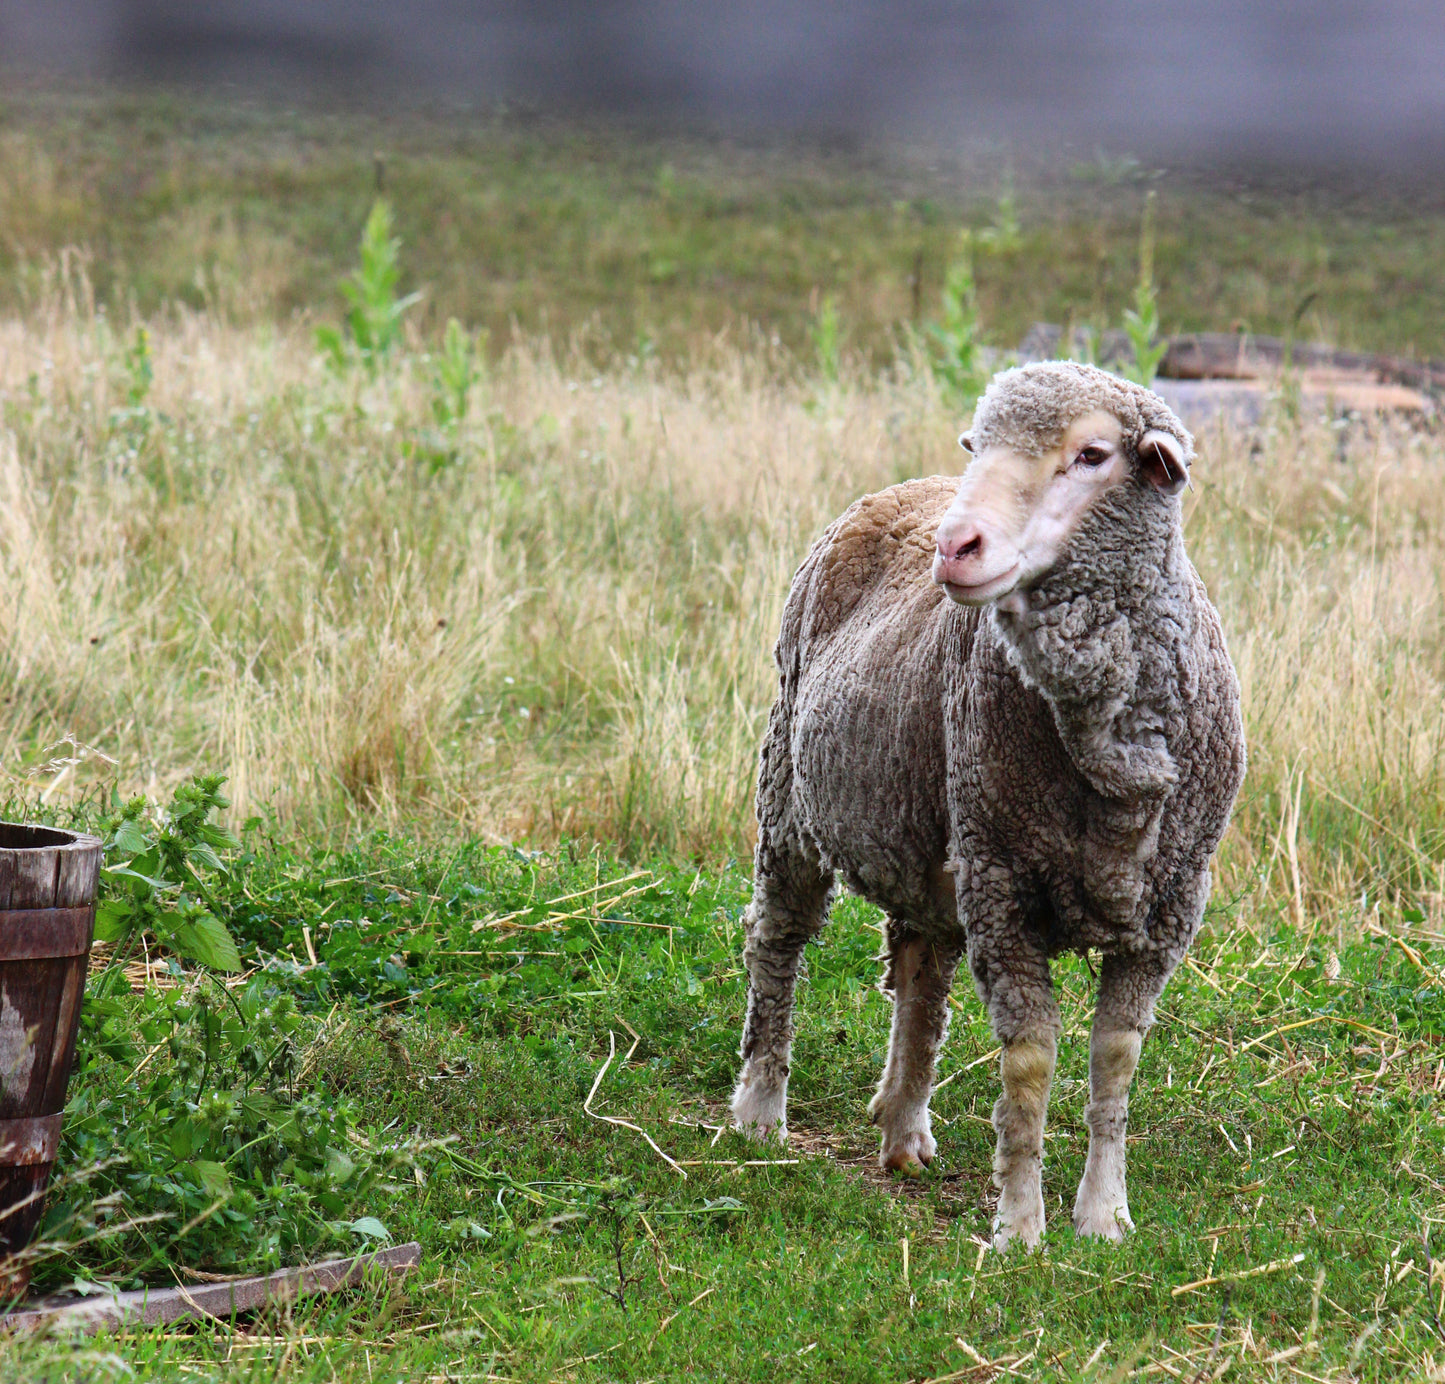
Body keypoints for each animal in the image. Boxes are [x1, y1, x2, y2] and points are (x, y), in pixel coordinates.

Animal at [734, 362, 1242, 1253]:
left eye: (1092, 454)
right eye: (979, 446)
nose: (954, 545)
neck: (1110, 760)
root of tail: (903, 487)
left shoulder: (1170, 907)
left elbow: (1115, 1059)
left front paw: (1103, 1216)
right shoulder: (1004, 885)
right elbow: (1030, 1063)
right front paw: (1019, 1228)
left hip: (931, 835)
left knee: (919, 969)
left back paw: (902, 1125)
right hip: (791, 794)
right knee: (777, 942)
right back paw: (761, 1107)